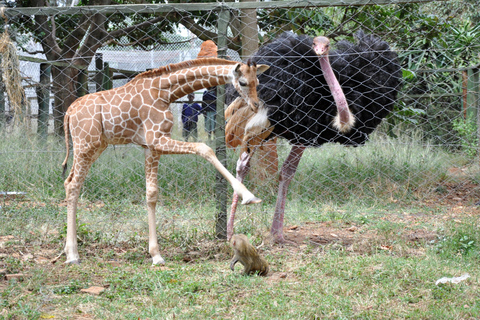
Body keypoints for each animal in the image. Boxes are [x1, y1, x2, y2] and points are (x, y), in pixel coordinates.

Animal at [61, 57, 268, 264]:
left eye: (257, 81)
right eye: (243, 82)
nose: (256, 105)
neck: (165, 92)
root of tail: (69, 112)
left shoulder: (152, 147)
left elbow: (151, 194)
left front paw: (156, 254)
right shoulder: (157, 139)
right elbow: (205, 148)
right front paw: (248, 195)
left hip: (95, 146)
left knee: (69, 181)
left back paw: (69, 251)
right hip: (85, 145)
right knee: (73, 185)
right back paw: (72, 255)